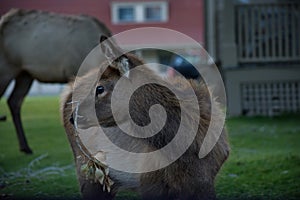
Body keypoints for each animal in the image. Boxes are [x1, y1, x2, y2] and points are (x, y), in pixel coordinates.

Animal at [61, 36, 230, 200]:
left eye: (100, 88)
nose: (73, 117)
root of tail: (68, 90)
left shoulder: (206, 182)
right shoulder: (149, 183)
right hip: (87, 169)